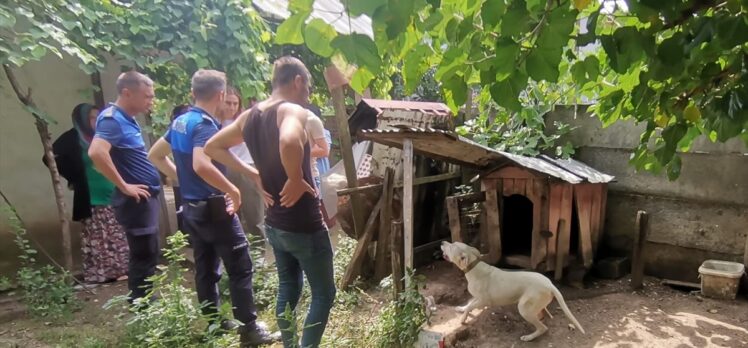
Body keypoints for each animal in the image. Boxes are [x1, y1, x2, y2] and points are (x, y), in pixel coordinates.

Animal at [438, 241, 584, 342]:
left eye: (451, 246)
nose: (442, 242)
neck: (473, 267)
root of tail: (550, 284)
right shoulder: (477, 298)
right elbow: (468, 304)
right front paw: (461, 309)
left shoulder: (484, 301)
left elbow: (470, 307)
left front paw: (463, 319)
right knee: (542, 316)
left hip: (524, 308)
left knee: (543, 328)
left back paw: (529, 337)